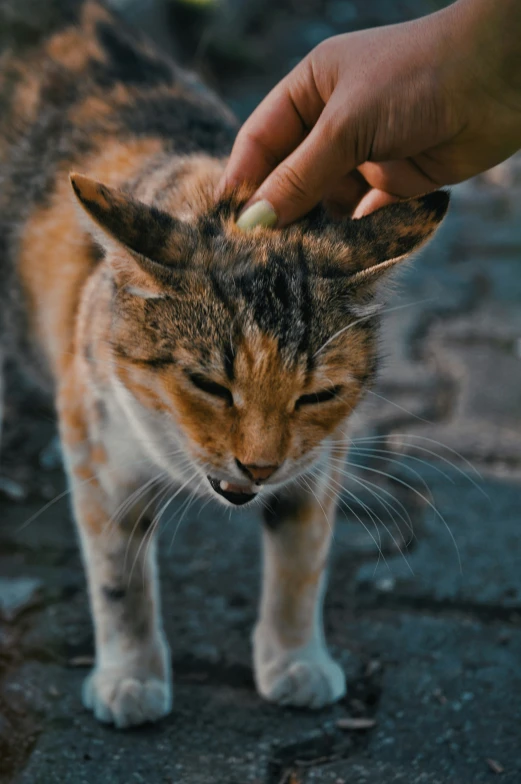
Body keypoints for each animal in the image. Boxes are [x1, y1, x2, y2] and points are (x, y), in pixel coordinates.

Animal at [0, 0, 446, 728]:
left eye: (315, 395)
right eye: (208, 384)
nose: (257, 466)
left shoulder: (320, 453)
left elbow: (302, 553)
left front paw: (295, 661)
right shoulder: (97, 439)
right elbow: (116, 569)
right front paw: (130, 677)